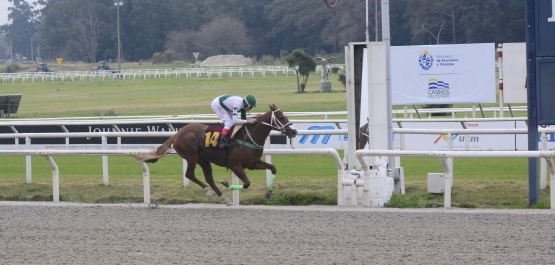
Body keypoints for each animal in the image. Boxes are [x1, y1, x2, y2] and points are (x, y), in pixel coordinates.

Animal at [135, 104, 298, 205]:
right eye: (281, 117)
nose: (294, 131)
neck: (248, 137)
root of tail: (176, 134)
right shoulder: (235, 165)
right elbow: (246, 183)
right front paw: (226, 183)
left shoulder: (253, 163)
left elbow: (273, 168)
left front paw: (269, 193)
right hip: (192, 156)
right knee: (190, 174)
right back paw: (208, 192)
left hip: (204, 160)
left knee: (209, 179)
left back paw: (225, 199)